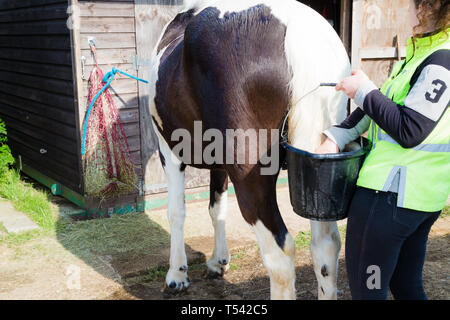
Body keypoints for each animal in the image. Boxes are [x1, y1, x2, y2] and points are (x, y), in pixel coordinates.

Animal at [148, 0, 352, 300]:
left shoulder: (169, 152)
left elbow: (176, 212)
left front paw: (176, 276)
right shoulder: (218, 164)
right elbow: (217, 208)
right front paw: (218, 261)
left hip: (250, 177)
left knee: (280, 254)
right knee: (326, 244)